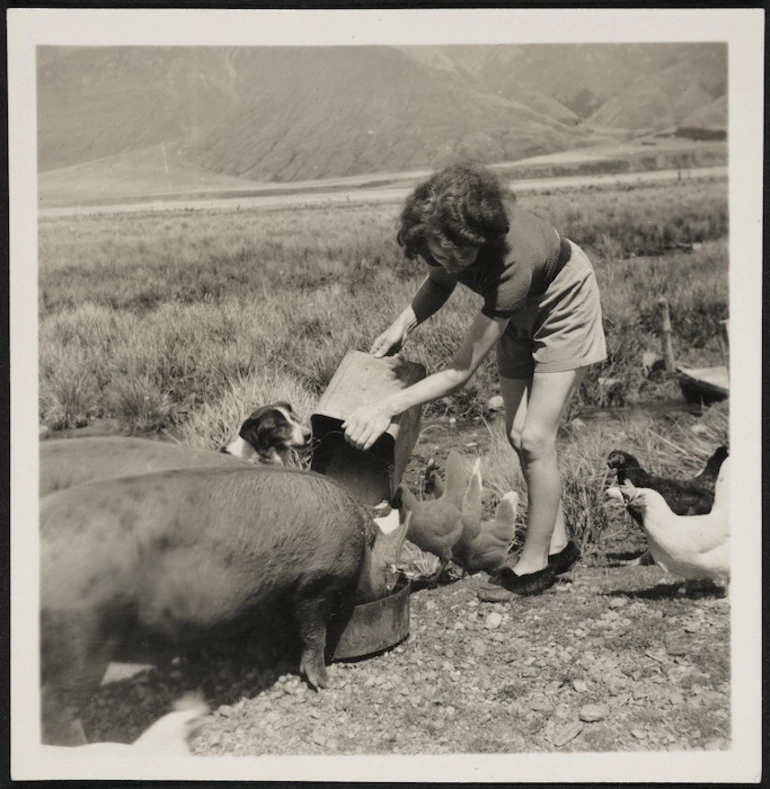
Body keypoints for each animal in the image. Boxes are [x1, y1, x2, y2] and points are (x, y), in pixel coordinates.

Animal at [39, 468, 380, 744]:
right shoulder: (316, 583)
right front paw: (324, 683)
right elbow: (314, 633)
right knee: (58, 710)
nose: (388, 581)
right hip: (80, 640)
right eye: (378, 548)